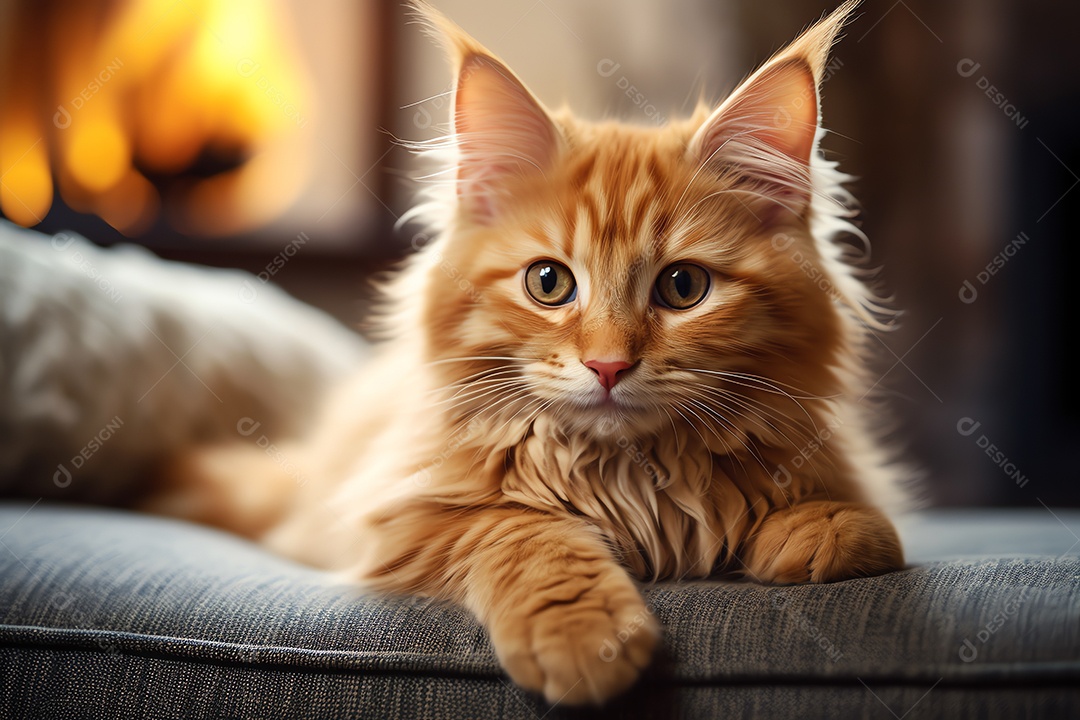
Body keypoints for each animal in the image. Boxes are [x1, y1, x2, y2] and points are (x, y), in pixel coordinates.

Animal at [147, 0, 907, 708]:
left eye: (683, 287)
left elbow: (854, 517)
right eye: (549, 283)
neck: (629, 479)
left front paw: (816, 531)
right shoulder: (400, 516)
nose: (608, 365)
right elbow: (523, 530)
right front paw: (583, 635)